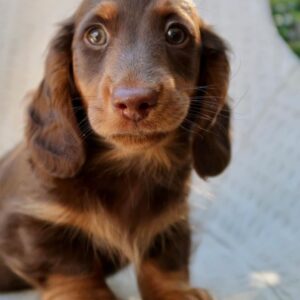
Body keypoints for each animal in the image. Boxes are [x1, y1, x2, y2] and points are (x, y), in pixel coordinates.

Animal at [0, 0, 231, 300]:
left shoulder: (171, 221)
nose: (135, 101)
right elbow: (69, 263)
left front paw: (176, 292)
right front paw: (87, 293)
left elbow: (166, 260)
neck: (128, 166)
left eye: (176, 34)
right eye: (95, 35)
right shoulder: (25, 223)